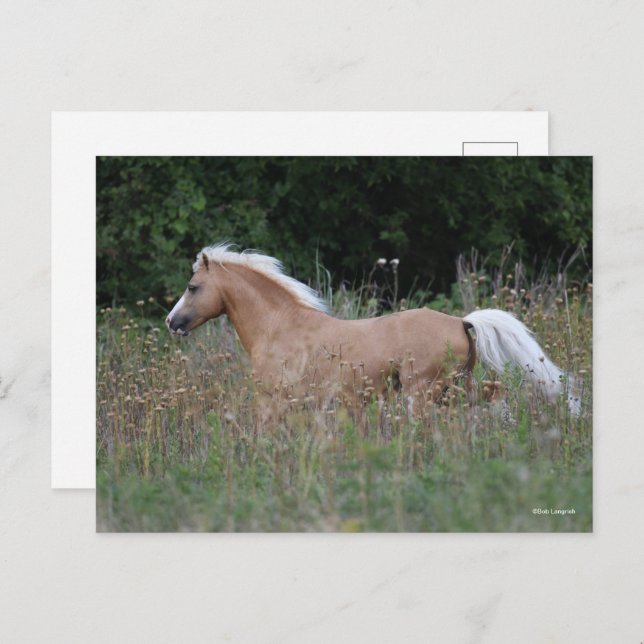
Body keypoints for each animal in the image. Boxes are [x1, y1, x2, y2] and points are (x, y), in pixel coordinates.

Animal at [166, 243, 577, 414]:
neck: (280, 327)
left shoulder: (276, 398)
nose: (172, 322)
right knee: (493, 398)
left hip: (423, 392)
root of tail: (462, 322)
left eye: (192, 287)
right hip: (460, 386)